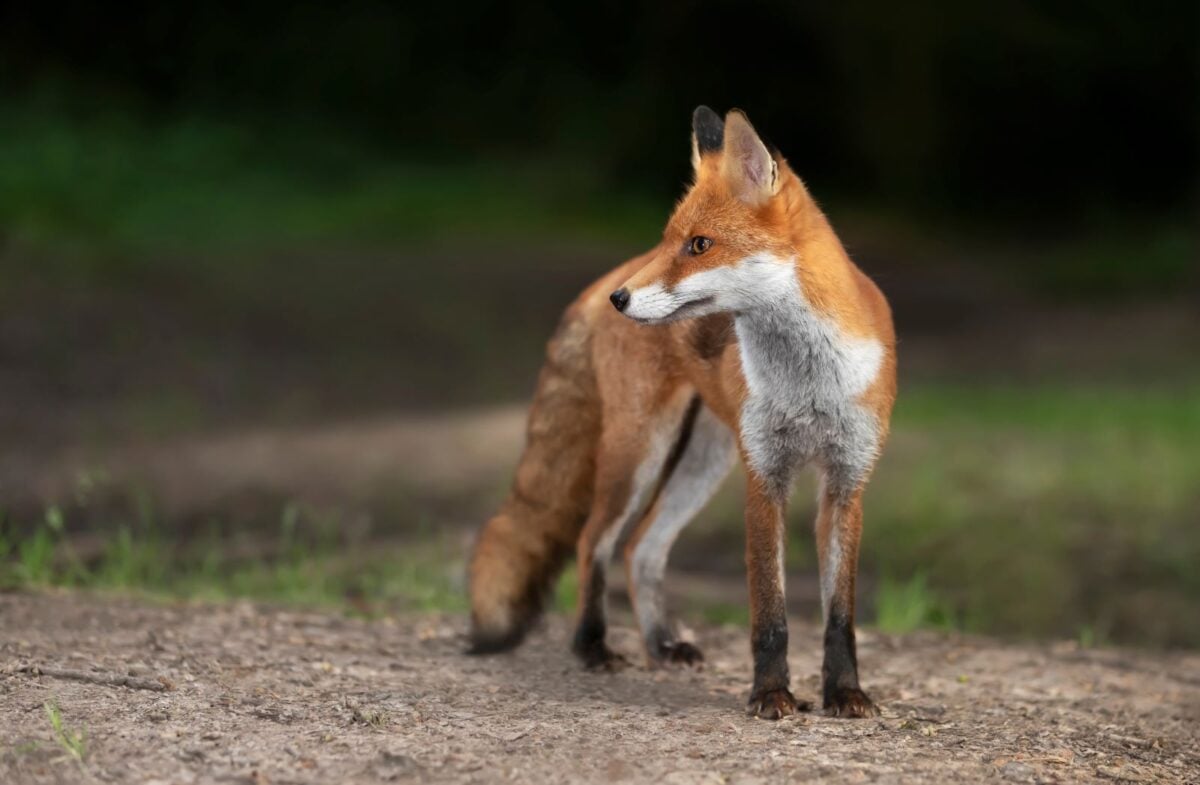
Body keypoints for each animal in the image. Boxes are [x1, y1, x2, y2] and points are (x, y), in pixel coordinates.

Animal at [467, 106, 896, 720]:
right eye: (669, 240)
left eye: (699, 244)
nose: (621, 300)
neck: (810, 382)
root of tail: (605, 276)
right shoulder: (765, 477)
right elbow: (770, 613)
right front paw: (771, 694)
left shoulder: (846, 482)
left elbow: (840, 617)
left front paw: (844, 693)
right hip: (640, 452)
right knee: (595, 541)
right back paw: (593, 646)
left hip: (703, 462)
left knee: (642, 546)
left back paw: (661, 645)